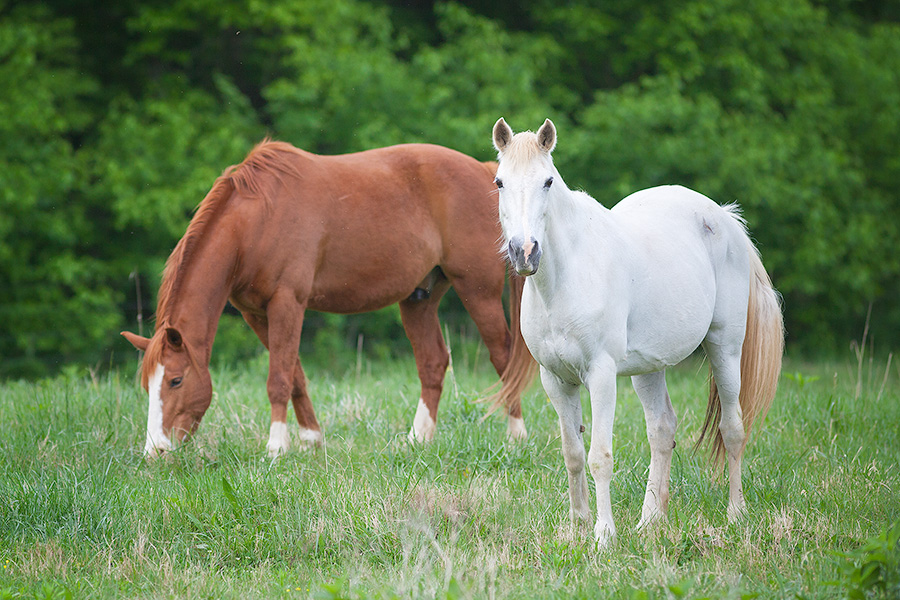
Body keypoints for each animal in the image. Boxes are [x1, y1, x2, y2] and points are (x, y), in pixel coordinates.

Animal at [123, 141, 536, 458]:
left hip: (477, 291)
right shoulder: (257, 313)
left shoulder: (287, 303)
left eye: (175, 380)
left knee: (503, 357)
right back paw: (417, 439)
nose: (155, 451)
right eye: (146, 385)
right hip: (419, 298)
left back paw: (516, 437)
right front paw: (311, 439)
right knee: (433, 363)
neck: (257, 219)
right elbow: (296, 376)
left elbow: (278, 377)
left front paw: (276, 447)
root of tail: (485, 171)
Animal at [492, 119, 780, 548]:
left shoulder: (601, 375)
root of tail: (724, 218)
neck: (567, 276)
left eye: (547, 181)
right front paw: (577, 528)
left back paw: (735, 514)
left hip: (725, 348)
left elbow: (599, 456)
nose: (524, 252)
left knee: (732, 429)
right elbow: (573, 454)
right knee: (662, 430)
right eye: (499, 182)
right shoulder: (556, 380)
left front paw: (603, 534)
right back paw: (650, 520)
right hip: (649, 369)